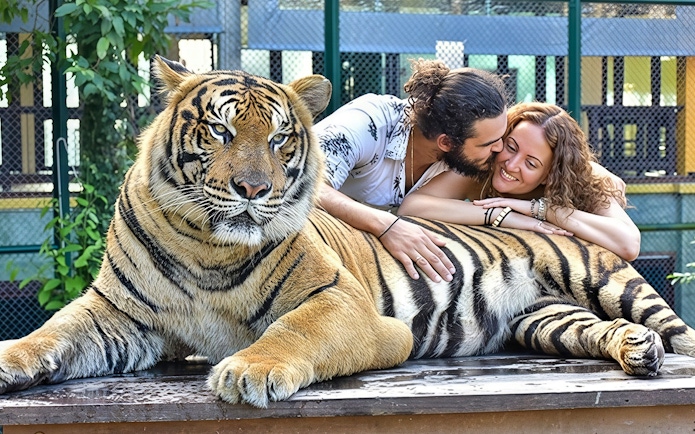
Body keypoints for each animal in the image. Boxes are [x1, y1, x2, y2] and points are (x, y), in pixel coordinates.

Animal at [1, 56, 694, 409]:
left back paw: (656, 348)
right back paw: (636, 352)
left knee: (675, 329)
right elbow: (52, 333)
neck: (206, 245)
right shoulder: (117, 312)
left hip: (608, 279)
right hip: (543, 319)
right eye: (221, 131)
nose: (255, 190)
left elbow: (293, 331)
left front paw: (247, 371)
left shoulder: (343, 303)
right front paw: (11, 359)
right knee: (596, 330)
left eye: (280, 138)